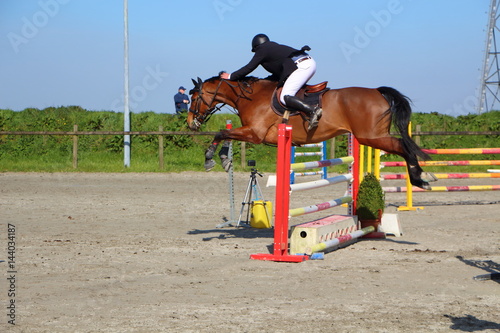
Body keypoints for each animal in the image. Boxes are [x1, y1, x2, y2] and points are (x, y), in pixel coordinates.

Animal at [188, 76, 434, 189]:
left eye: (194, 97)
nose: (190, 123)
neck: (250, 97)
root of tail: (377, 91)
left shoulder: (254, 134)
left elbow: (221, 133)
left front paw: (210, 159)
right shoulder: (249, 133)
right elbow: (225, 135)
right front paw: (223, 158)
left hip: (371, 137)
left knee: (403, 147)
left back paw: (420, 178)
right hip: (371, 136)